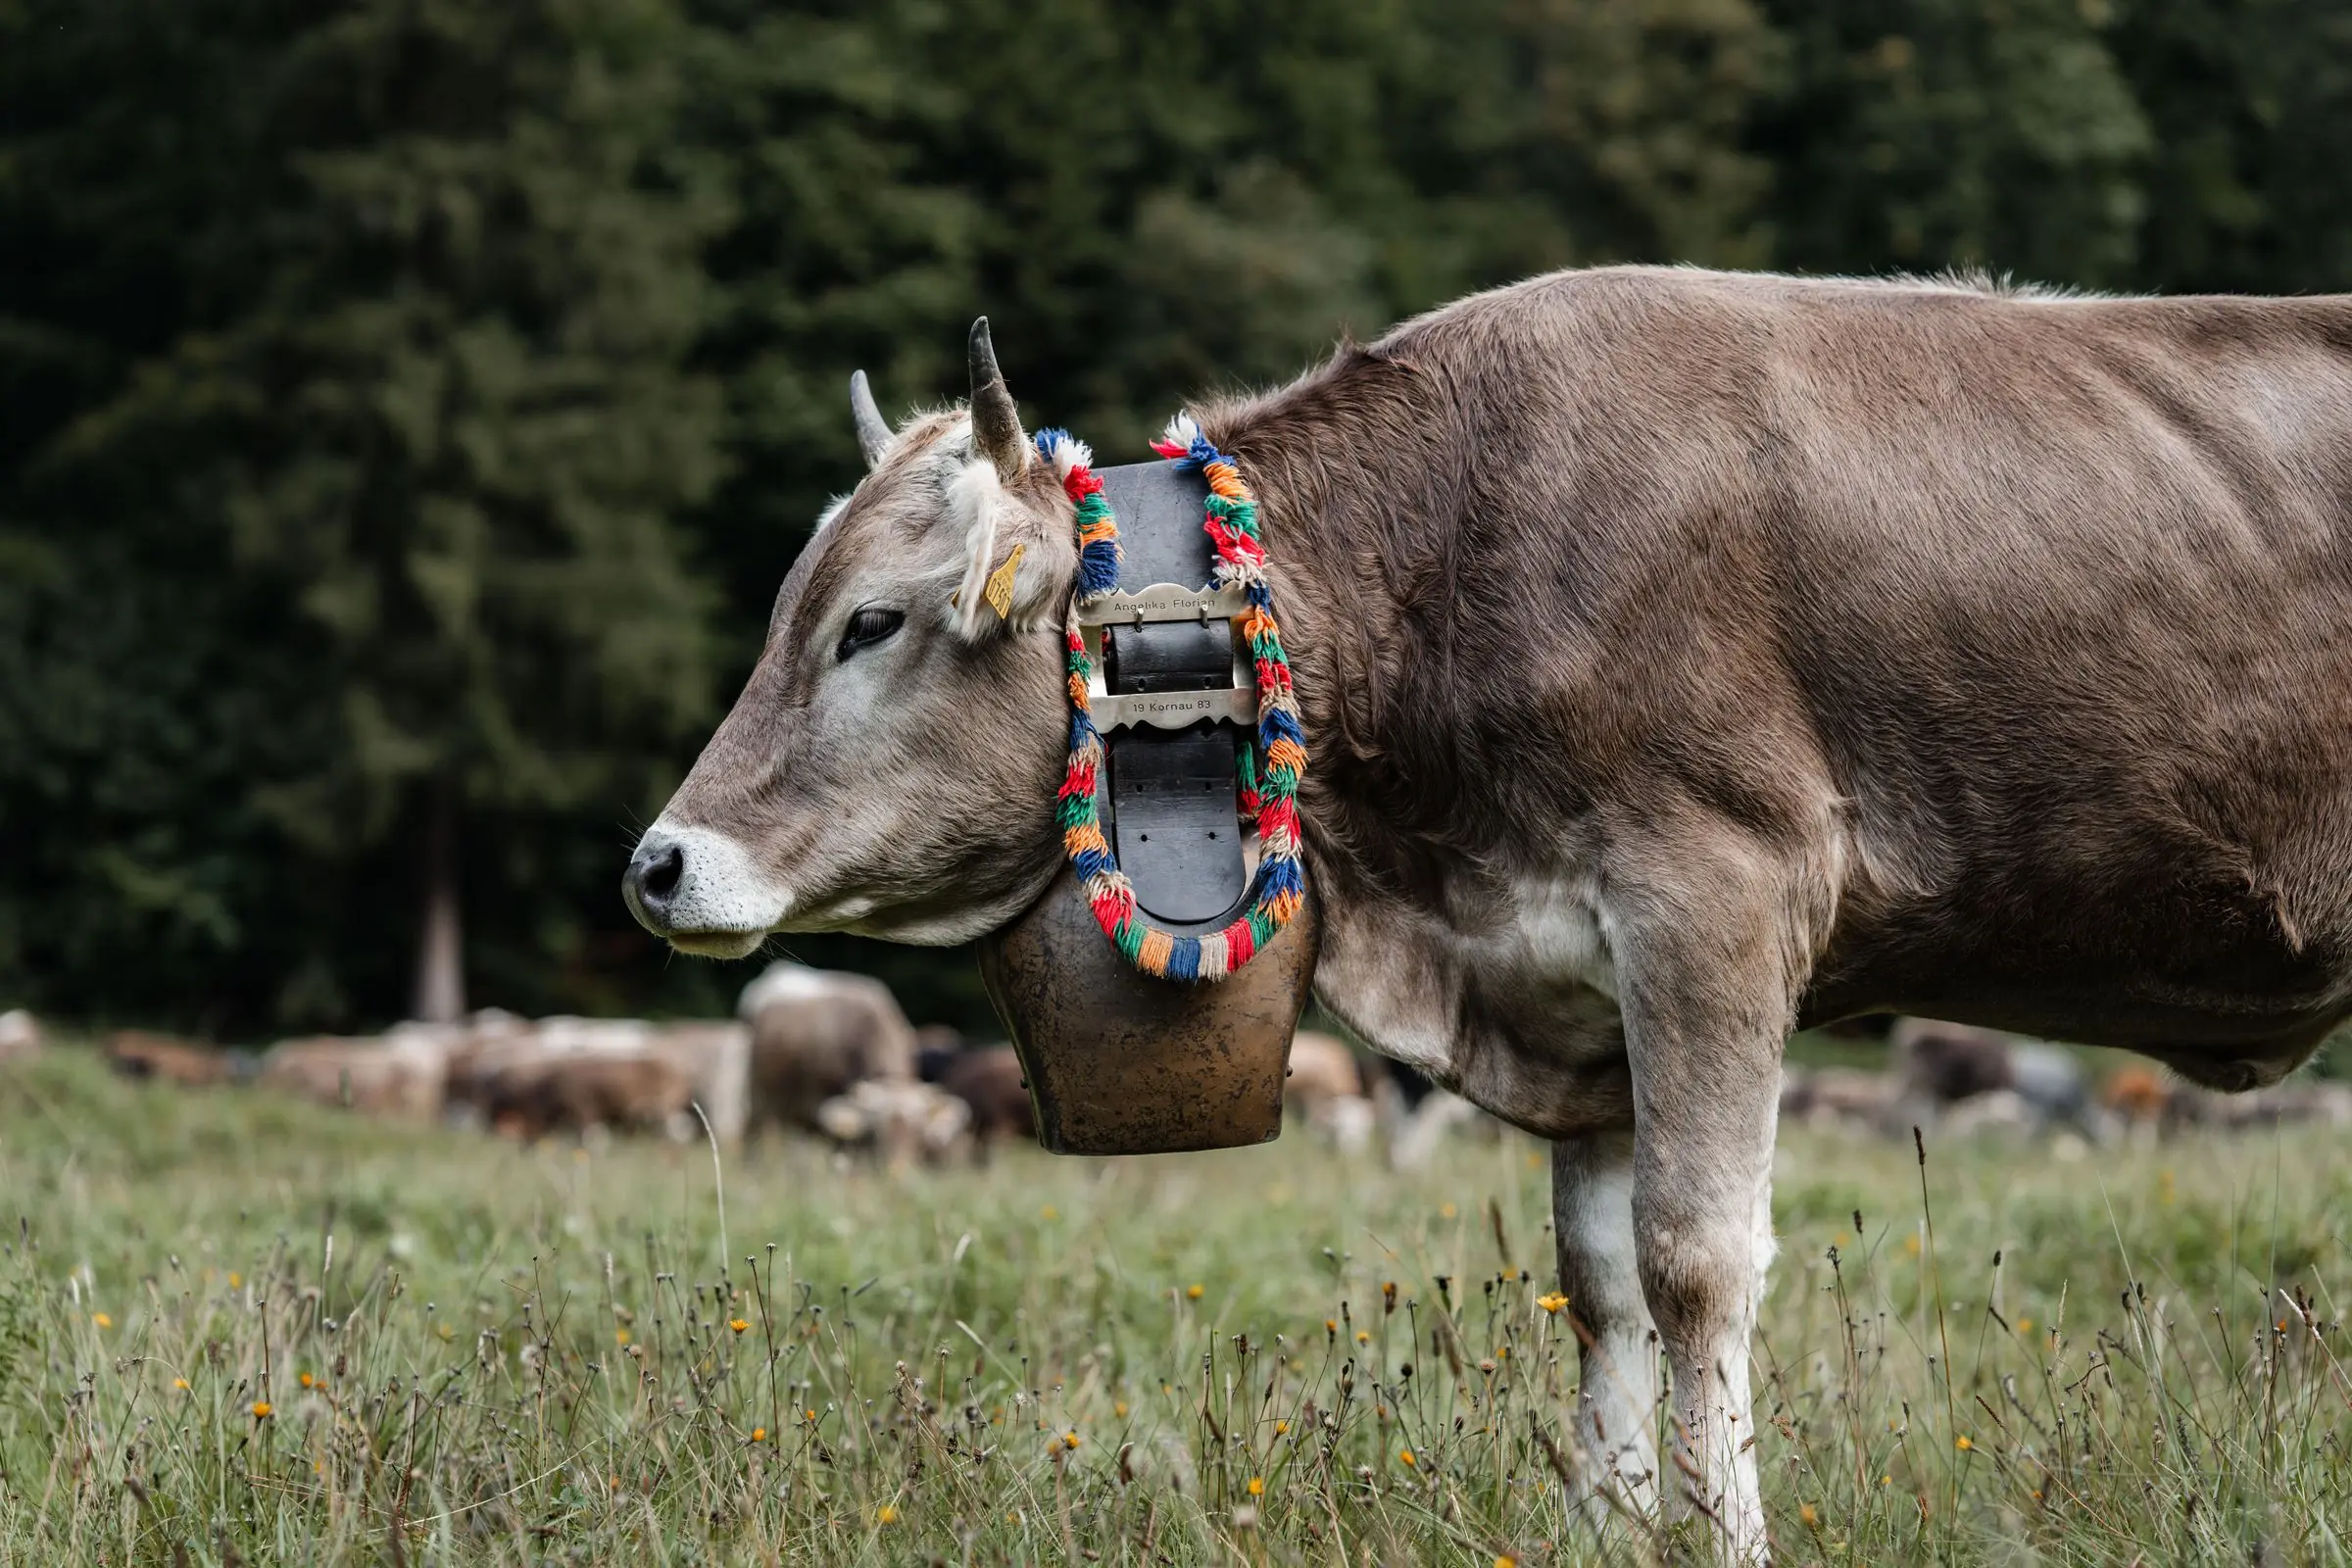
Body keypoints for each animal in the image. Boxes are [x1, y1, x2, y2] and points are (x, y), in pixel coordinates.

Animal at [622, 268, 2352, 1560]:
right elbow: (1598, 1282)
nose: (660, 864)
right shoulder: (1567, 980)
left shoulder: (1714, 897)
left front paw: (1721, 1535)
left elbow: (1694, 1260)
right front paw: (1609, 1523)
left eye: (872, 623)